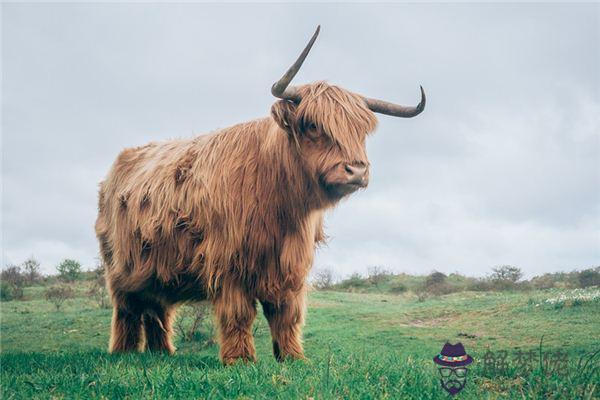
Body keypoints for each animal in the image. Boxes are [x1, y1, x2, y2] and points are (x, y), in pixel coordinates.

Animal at [95, 24, 422, 362]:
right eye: (312, 125)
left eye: (360, 131)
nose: (356, 170)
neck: (281, 205)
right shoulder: (228, 262)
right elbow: (239, 313)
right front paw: (240, 360)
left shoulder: (290, 266)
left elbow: (286, 314)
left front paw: (293, 357)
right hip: (120, 269)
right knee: (128, 310)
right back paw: (123, 352)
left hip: (156, 271)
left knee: (157, 310)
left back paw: (162, 353)